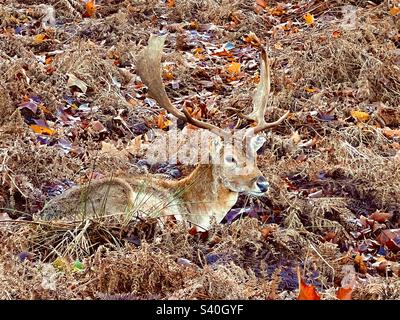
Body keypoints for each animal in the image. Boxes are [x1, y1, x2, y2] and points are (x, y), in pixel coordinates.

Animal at [37, 34, 288, 230]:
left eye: (255, 156)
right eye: (230, 158)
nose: (263, 184)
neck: (195, 208)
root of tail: (44, 217)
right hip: (119, 193)